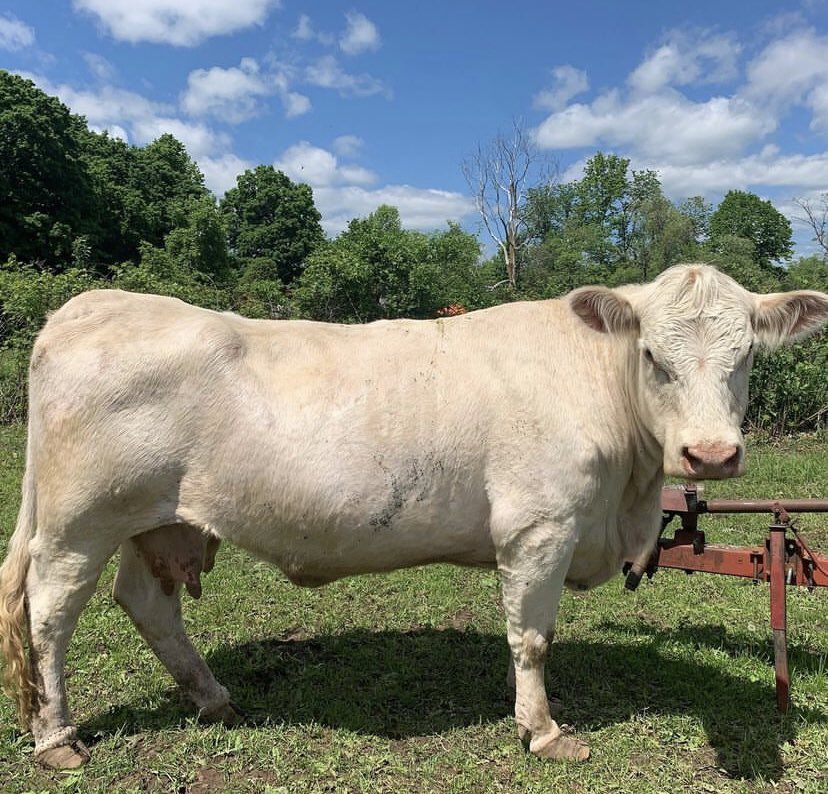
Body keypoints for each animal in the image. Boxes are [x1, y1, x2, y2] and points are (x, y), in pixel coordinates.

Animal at [1, 264, 827, 769]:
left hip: (157, 519)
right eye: (652, 355)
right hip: (79, 523)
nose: (711, 454)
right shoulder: (538, 527)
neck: (626, 491)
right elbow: (532, 639)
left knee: (146, 603)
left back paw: (213, 698)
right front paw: (544, 732)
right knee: (50, 614)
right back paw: (56, 739)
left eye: (747, 355)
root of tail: (92, 305)